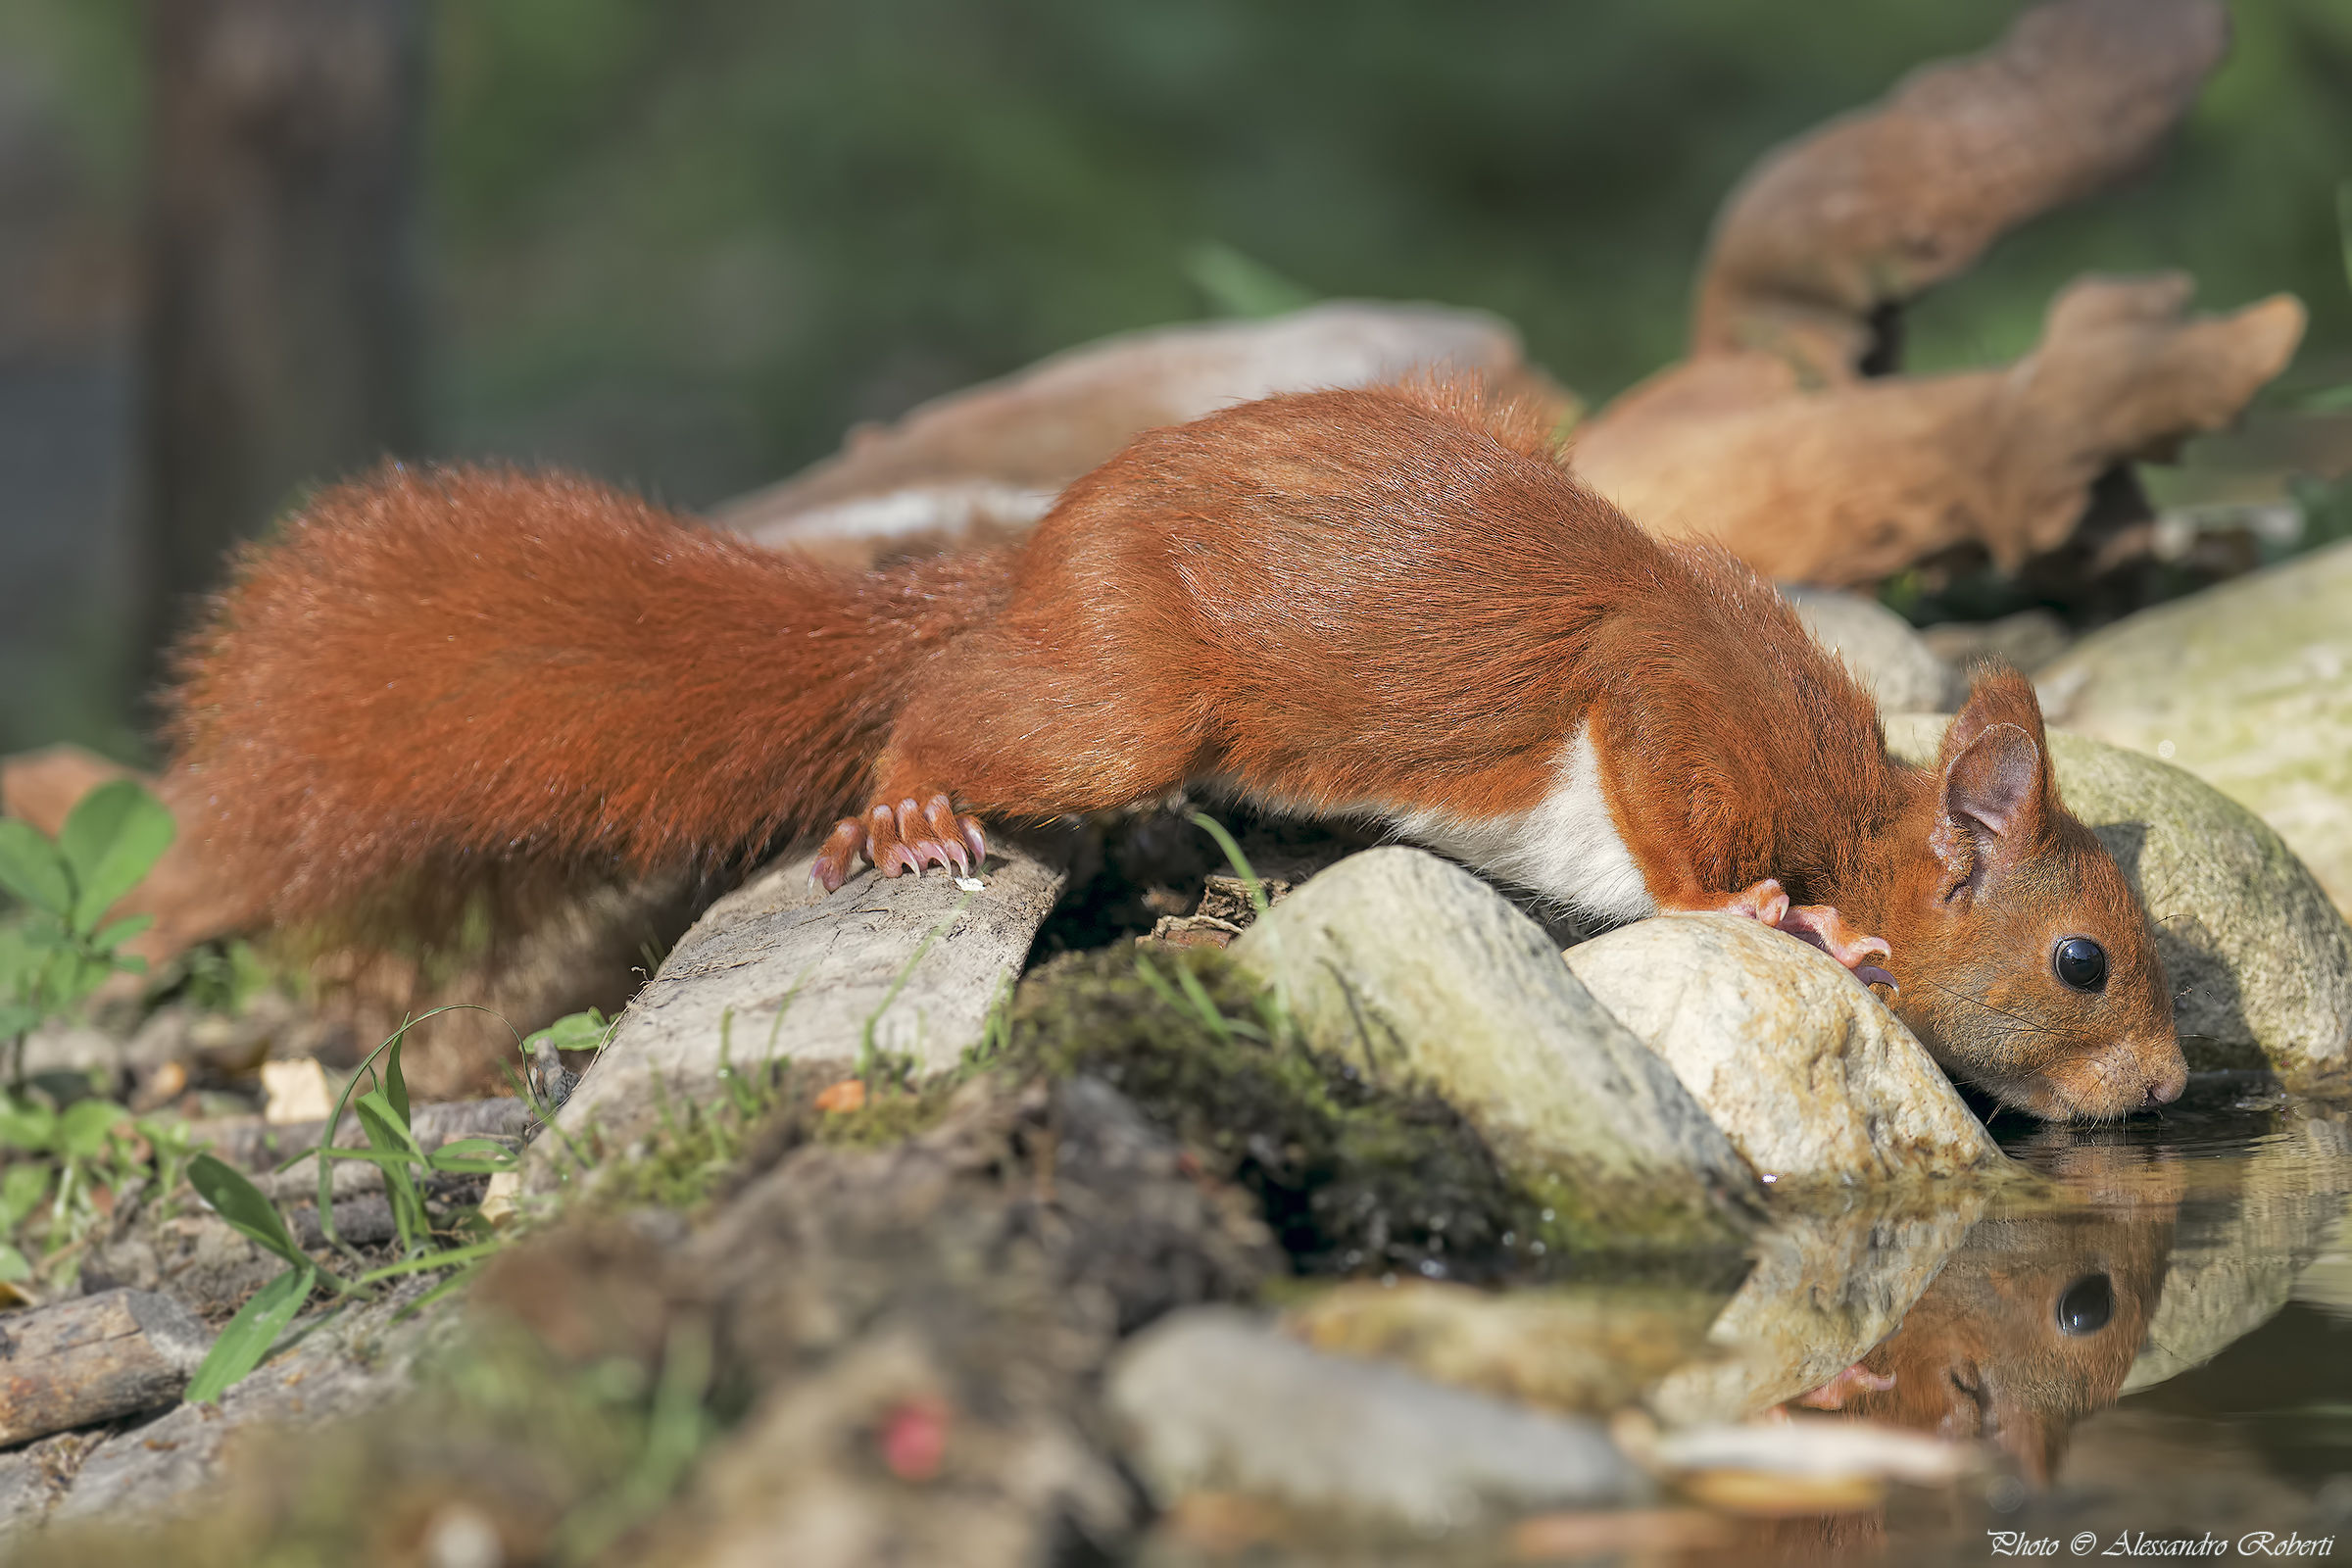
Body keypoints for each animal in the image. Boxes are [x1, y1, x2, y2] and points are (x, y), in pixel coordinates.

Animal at [165, 378, 2185, 1120]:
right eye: (2084, 961)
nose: (2171, 1090)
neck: (1851, 803)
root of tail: (1035, 569)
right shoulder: (1669, 702)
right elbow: (1680, 821)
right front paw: (1787, 921)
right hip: (1124, 699)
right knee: (954, 710)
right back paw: (910, 796)